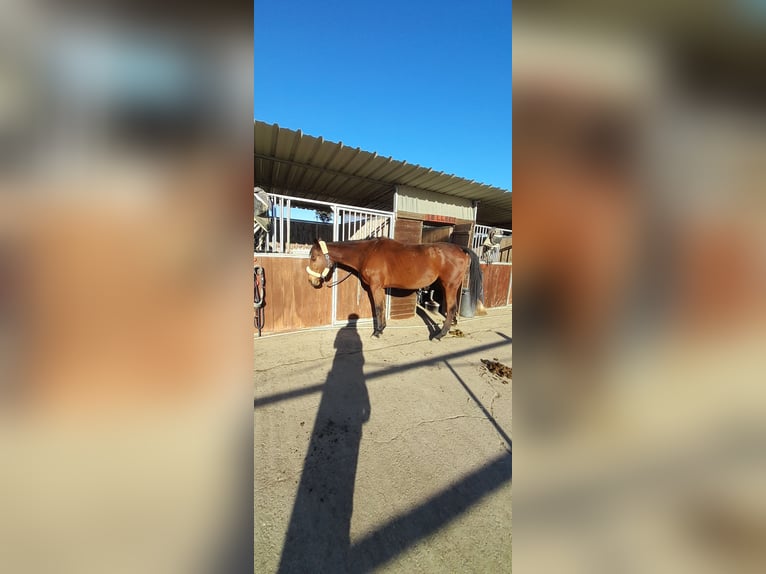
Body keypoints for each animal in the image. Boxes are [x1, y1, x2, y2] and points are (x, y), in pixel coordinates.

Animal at [308, 236, 484, 340]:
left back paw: (439, 334)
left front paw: (377, 331)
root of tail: (460, 249)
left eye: (314, 257)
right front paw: (382, 328)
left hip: (449, 285)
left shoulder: (375, 287)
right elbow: (382, 307)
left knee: (452, 307)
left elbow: (378, 308)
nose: (311, 281)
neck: (368, 252)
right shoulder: (381, 288)